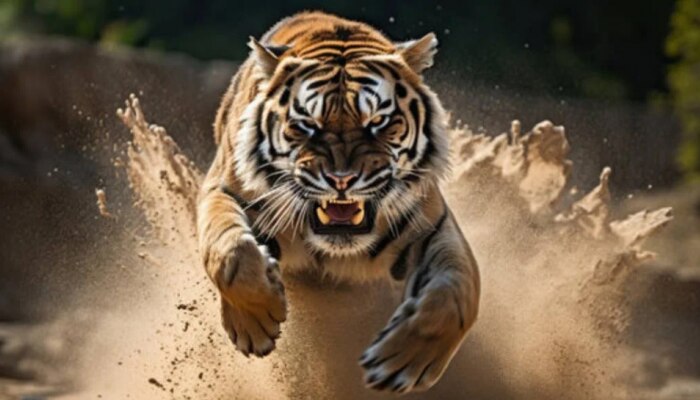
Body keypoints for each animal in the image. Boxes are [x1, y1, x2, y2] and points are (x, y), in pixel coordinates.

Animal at [197, 11, 480, 393]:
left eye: (378, 122)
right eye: (307, 124)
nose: (342, 179)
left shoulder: (432, 226)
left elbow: (457, 293)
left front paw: (402, 363)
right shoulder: (223, 190)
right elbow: (230, 251)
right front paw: (255, 322)